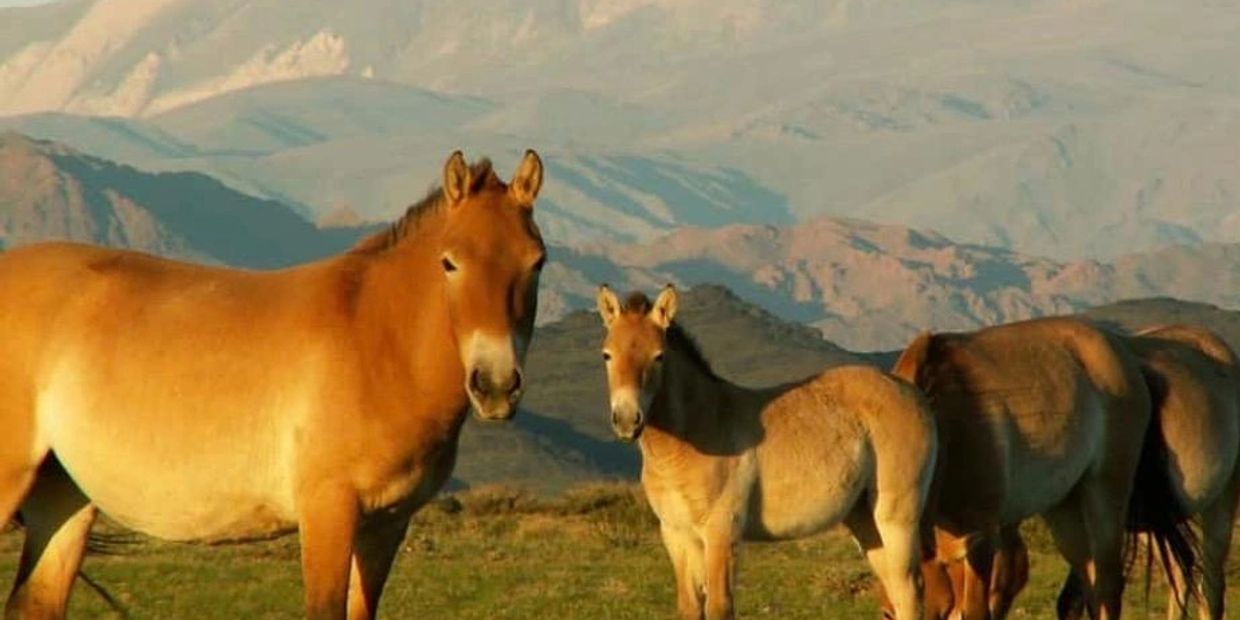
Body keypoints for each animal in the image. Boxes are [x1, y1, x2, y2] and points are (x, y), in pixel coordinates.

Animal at [0, 149, 546, 619]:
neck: (375, 340)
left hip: (63, 499)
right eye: (450, 261)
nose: (496, 385)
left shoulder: (386, 525)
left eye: (536, 262)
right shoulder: (328, 512)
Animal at [595, 284, 938, 620]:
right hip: (864, 519)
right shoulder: (677, 536)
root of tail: (911, 392)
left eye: (659, 356)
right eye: (607, 355)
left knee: (909, 589)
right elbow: (690, 608)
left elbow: (719, 607)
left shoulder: (721, 532)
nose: (627, 419)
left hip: (897, 516)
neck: (696, 433)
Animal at [877, 317, 1195, 620]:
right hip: (1066, 511)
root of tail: (1128, 360)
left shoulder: (983, 537)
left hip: (1105, 494)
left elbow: (978, 610)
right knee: (1089, 587)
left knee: (1108, 587)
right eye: (888, 614)